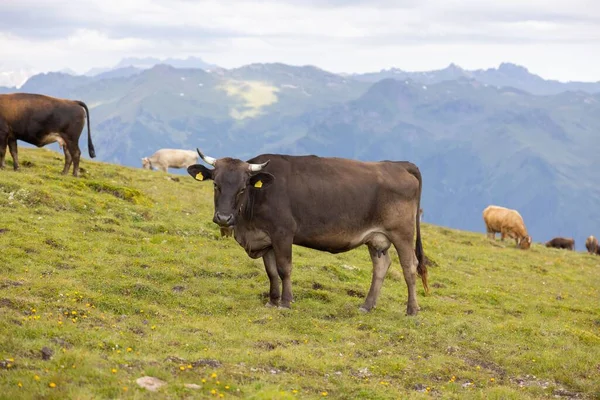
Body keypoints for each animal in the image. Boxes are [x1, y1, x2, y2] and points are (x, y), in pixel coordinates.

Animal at [188, 150, 426, 316]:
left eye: (242, 188)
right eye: (216, 185)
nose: (223, 218)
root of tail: (399, 165)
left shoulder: (283, 233)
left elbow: (284, 269)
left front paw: (285, 302)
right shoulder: (266, 239)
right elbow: (271, 271)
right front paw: (272, 301)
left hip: (402, 233)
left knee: (409, 267)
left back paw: (412, 310)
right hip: (376, 239)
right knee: (381, 266)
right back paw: (367, 306)